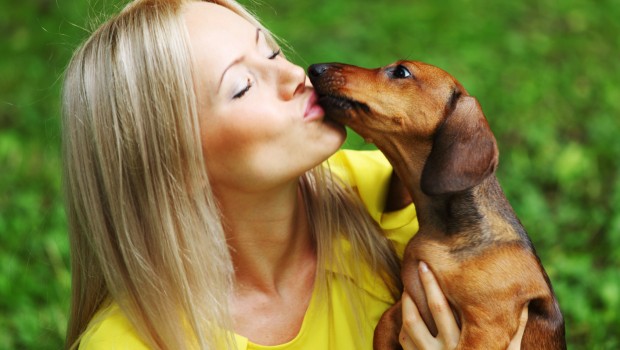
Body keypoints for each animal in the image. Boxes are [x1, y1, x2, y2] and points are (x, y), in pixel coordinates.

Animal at [308, 61, 564, 348]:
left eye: (401, 71)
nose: (315, 68)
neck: (445, 234)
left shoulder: (486, 327)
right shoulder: (408, 302)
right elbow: (382, 326)